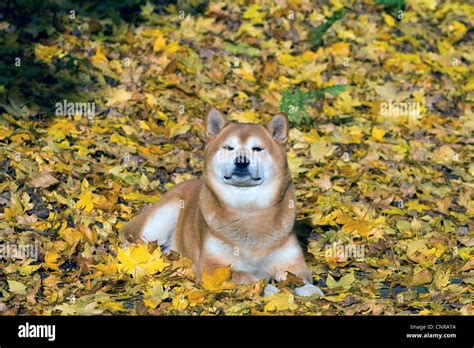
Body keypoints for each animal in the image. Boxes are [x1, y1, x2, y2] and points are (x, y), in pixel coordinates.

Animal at [121, 109, 322, 296]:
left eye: (257, 149)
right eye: (228, 148)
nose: (241, 161)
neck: (247, 210)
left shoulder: (293, 262)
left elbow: (300, 278)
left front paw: (310, 289)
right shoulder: (212, 267)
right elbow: (243, 275)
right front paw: (266, 288)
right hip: (164, 215)